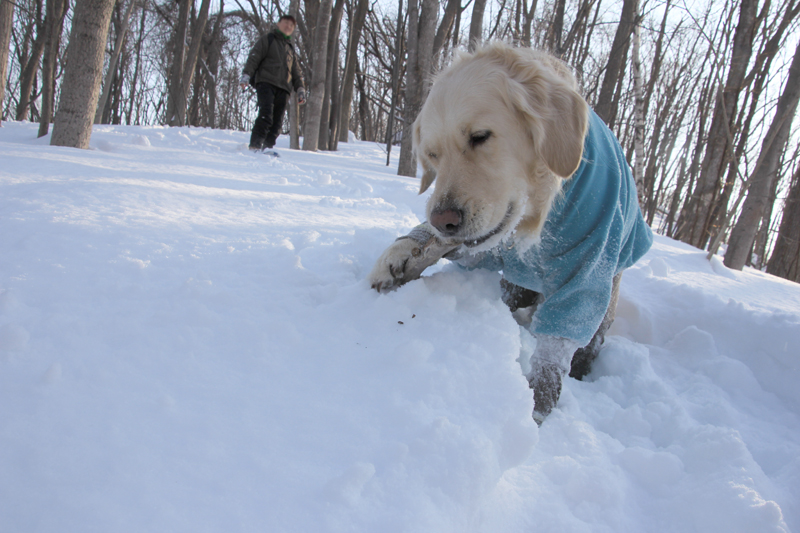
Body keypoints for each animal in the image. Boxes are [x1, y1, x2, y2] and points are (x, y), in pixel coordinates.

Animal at [368, 42, 648, 424]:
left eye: (479, 137)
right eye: (432, 155)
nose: (443, 219)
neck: (538, 218)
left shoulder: (590, 258)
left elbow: (558, 342)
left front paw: (536, 403)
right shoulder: (492, 245)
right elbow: (447, 246)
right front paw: (404, 254)